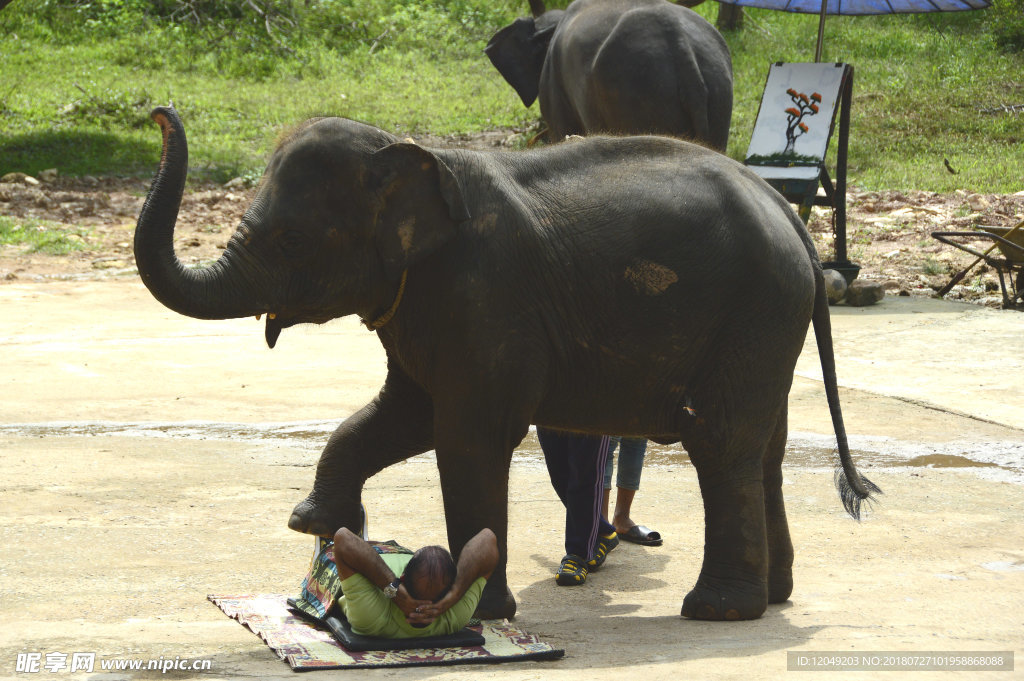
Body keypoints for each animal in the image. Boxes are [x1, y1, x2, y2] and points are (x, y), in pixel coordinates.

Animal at [132, 104, 876, 622]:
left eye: (290, 239)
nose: (156, 114)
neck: (412, 153)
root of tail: (794, 222)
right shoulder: (423, 305)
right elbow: (403, 415)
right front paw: (318, 525)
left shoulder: (484, 298)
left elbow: (466, 436)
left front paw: (478, 614)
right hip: (766, 325)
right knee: (764, 449)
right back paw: (772, 597)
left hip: (754, 311)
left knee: (720, 442)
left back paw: (717, 610)